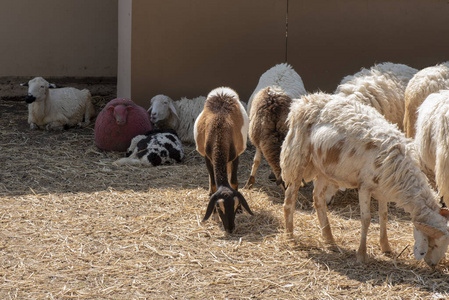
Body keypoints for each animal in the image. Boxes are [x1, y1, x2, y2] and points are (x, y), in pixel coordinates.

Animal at [193, 86, 254, 232]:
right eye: (219, 208)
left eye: (236, 206)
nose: (230, 229)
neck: (220, 126)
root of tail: (222, 90)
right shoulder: (208, 158)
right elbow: (214, 185)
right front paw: (214, 215)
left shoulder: (235, 156)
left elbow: (233, 182)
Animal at [280, 92, 448, 266]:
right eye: (433, 242)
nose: (433, 265)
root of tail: (303, 101)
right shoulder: (364, 187)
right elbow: (366, 219)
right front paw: (361, 255)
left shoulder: (383, 189)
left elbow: (384, 215)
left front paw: (386, 247)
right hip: (297, 158)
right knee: (290, 198)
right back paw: (290, 237)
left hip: (324, 168)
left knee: (318, 198)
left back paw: (330, 241)